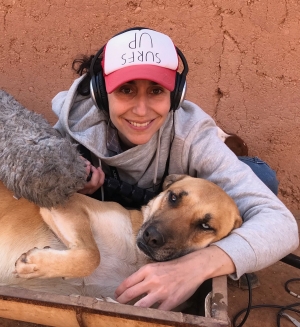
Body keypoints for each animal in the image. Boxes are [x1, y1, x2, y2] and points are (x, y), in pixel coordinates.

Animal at [0, 176, 241, 302]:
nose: (152, 237)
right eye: (173, 197)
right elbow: (92, 255)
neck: (137, 259)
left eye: (205, 226)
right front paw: (34, 264)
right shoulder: (69, 203)